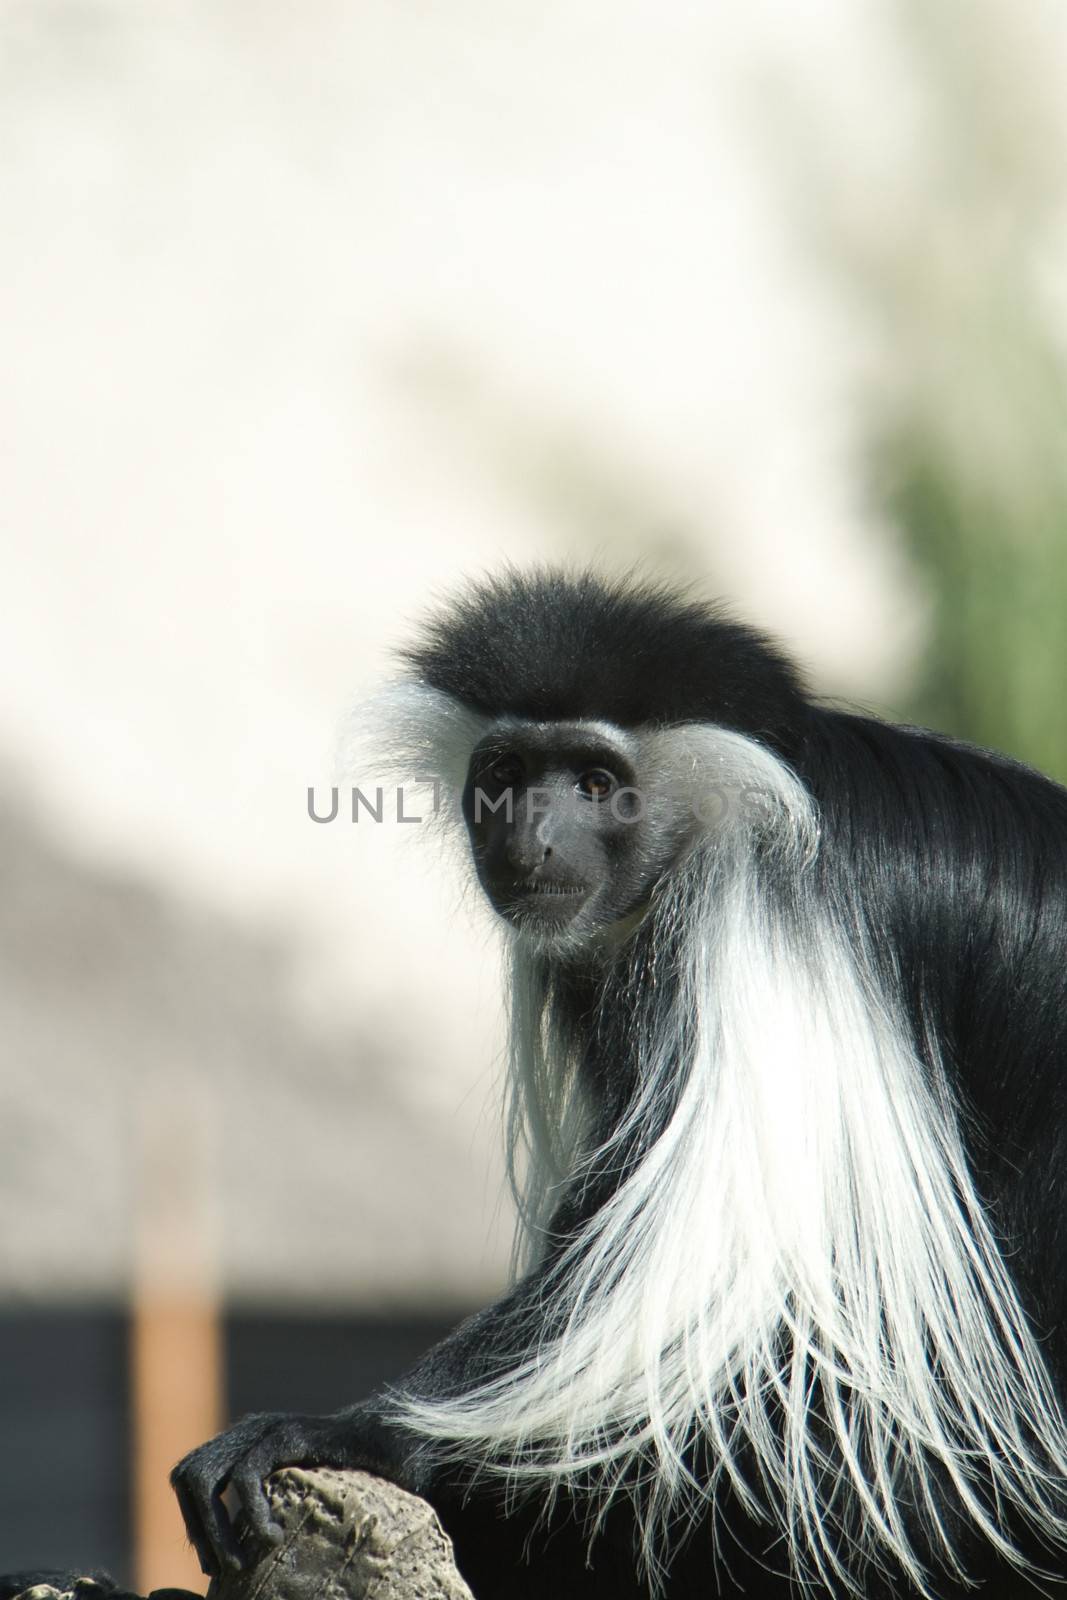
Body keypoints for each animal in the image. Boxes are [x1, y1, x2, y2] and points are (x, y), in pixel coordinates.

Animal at [175, 569, 1067, 1593]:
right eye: (506, 774)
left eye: (596, 784)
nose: (529, 839)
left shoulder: (754, 927)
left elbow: (684, 1273)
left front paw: (347, 1433)